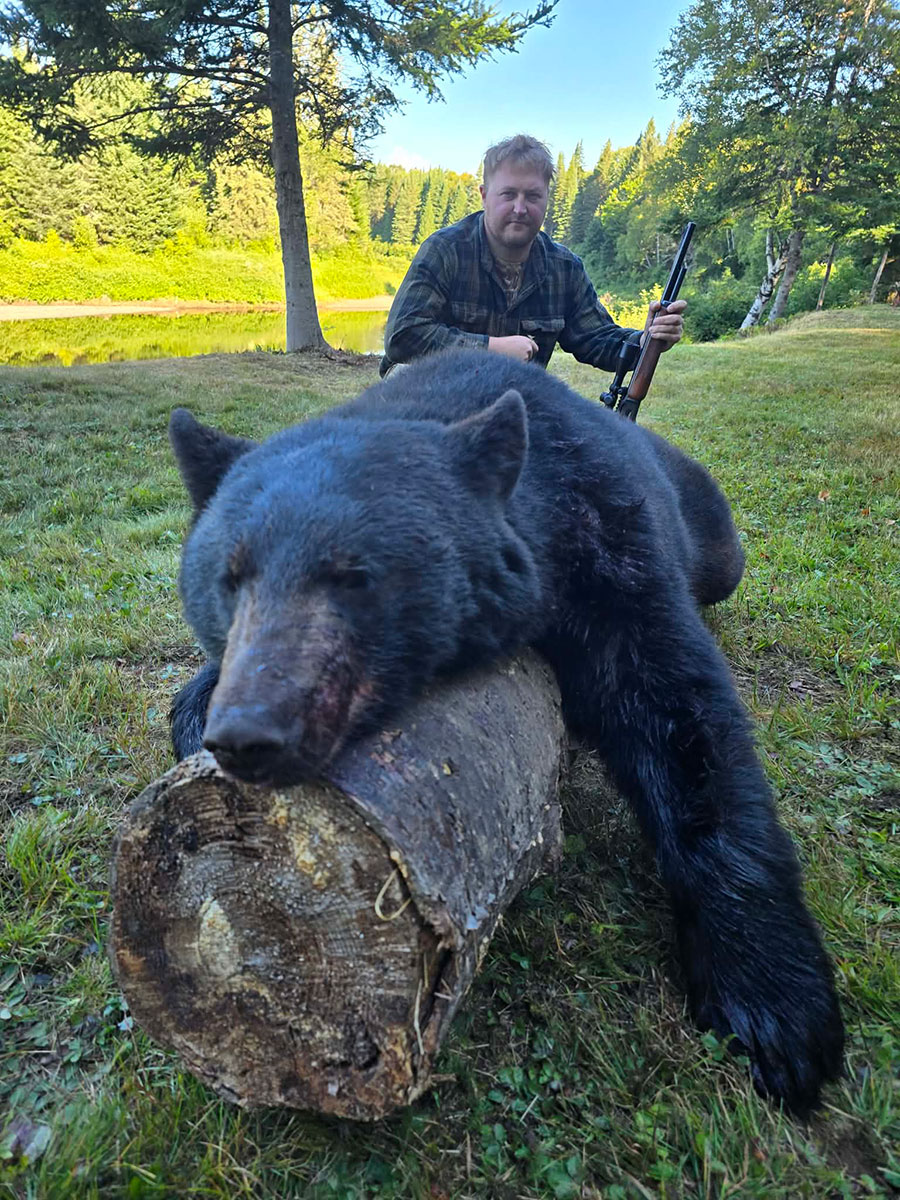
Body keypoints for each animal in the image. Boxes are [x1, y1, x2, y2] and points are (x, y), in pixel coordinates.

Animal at [168, 346, 844, 1116]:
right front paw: (197, 712)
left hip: (713, 533)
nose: (250, 732)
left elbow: (688, 729)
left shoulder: (612, 543)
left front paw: (774, 1007)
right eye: (230, 577)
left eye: (355, 575)